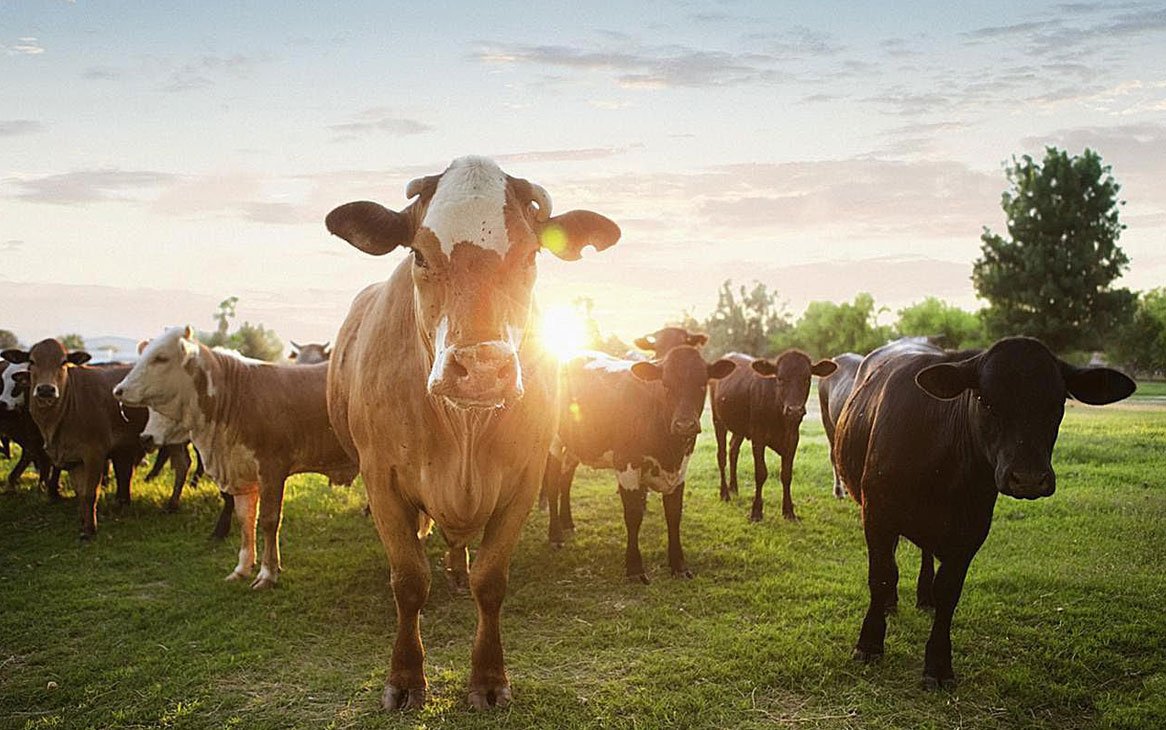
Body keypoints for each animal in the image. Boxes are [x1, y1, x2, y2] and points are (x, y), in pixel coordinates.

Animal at [113, 327, 357, 587]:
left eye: (161, 357)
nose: (118, 390)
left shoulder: (272, 469)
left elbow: (269, 520)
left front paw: (268, 573)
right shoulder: (242, 473)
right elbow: (245, 519)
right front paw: (242, 568)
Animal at [325, 156, 620, 710]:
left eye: (530, 255)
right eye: (419, 254)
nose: (481, 368)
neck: (462, 430)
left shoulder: (525, 479)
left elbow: (492, 581)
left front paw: (487, 677)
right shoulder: (380, 477)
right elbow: (409, 580)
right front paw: (405, 677)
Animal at [546, 349, 735, 582]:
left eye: (701, 384)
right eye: (666, 385)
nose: (684, 425)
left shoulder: (680, 468)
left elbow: (674, 515)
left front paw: (678, 565)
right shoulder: (626, 463)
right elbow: (634, 515)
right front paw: (635, 567)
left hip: (577, 444)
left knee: (565, 480)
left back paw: (568, 523)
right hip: (553, 439)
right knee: (552, 483)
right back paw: (555, 534)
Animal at [710, 350, 836, 522]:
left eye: (807, 379)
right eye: (780, 378)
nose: (794, 410)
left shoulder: (793, 438)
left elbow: (786, 474)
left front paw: (789, 511)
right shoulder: (758, 437)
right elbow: (761, 473)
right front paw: (756, 511)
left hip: (740, 427)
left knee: (733, 449)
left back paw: (734, 487)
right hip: (718, 420)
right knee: (722, 455)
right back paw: (725, 493)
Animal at [833, 336, 1135, 689]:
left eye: (1057, 404)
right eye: (985, 401)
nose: (1028, 478)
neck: (943, 466)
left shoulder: (972, 530)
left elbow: (948, 591)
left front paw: (938, 663)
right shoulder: (877, 513)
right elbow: (882, 575)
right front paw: (869, 643)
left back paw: (924, 598)